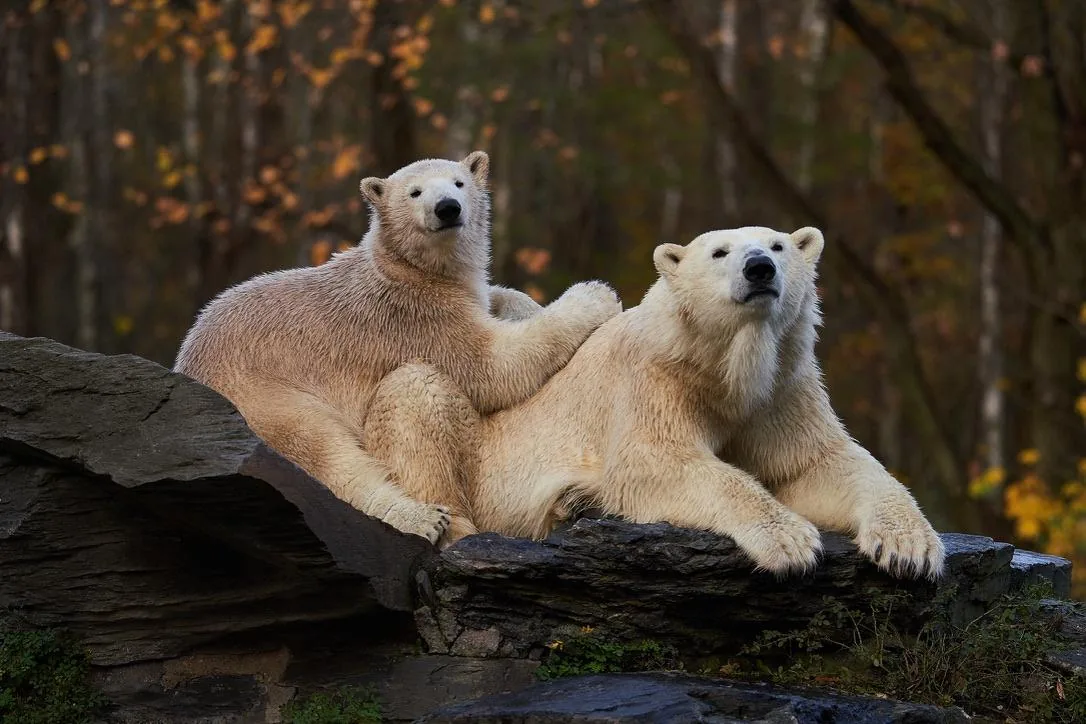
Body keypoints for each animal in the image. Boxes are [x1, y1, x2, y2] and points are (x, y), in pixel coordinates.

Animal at [174, 151, 622, 544]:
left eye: (459, 182)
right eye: (415, 192)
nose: (447, 208)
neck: (409, 268)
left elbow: (492, 304)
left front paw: (524, 303)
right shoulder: (413, 317)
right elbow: (490, 366)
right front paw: (594, 295)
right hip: (262, 394)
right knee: (321, 449)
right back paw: (419, 516)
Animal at [364, 226, 945, 577]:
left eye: (779, 246)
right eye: (719, 252)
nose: (759, 267)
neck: (725, 369)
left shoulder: (781, 390)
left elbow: (816, 463)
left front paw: (910, 547)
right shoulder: (655, 379)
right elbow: (657, 461)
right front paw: (791, 542)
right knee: (417, 392)